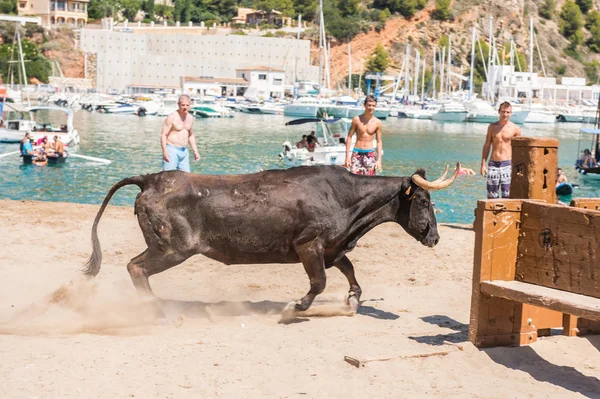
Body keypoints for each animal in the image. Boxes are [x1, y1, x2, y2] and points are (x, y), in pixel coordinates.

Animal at [84, 164, 458, 314]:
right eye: (423, 201)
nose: (435, 237)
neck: (346, 197)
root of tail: (152, 179)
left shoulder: (333, 248)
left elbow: (350, 271)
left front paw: (353, 298)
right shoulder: (308, 245)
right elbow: (319, 282)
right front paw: (297, 306)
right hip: (172, 247)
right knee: (136, 267)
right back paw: (154, 308)